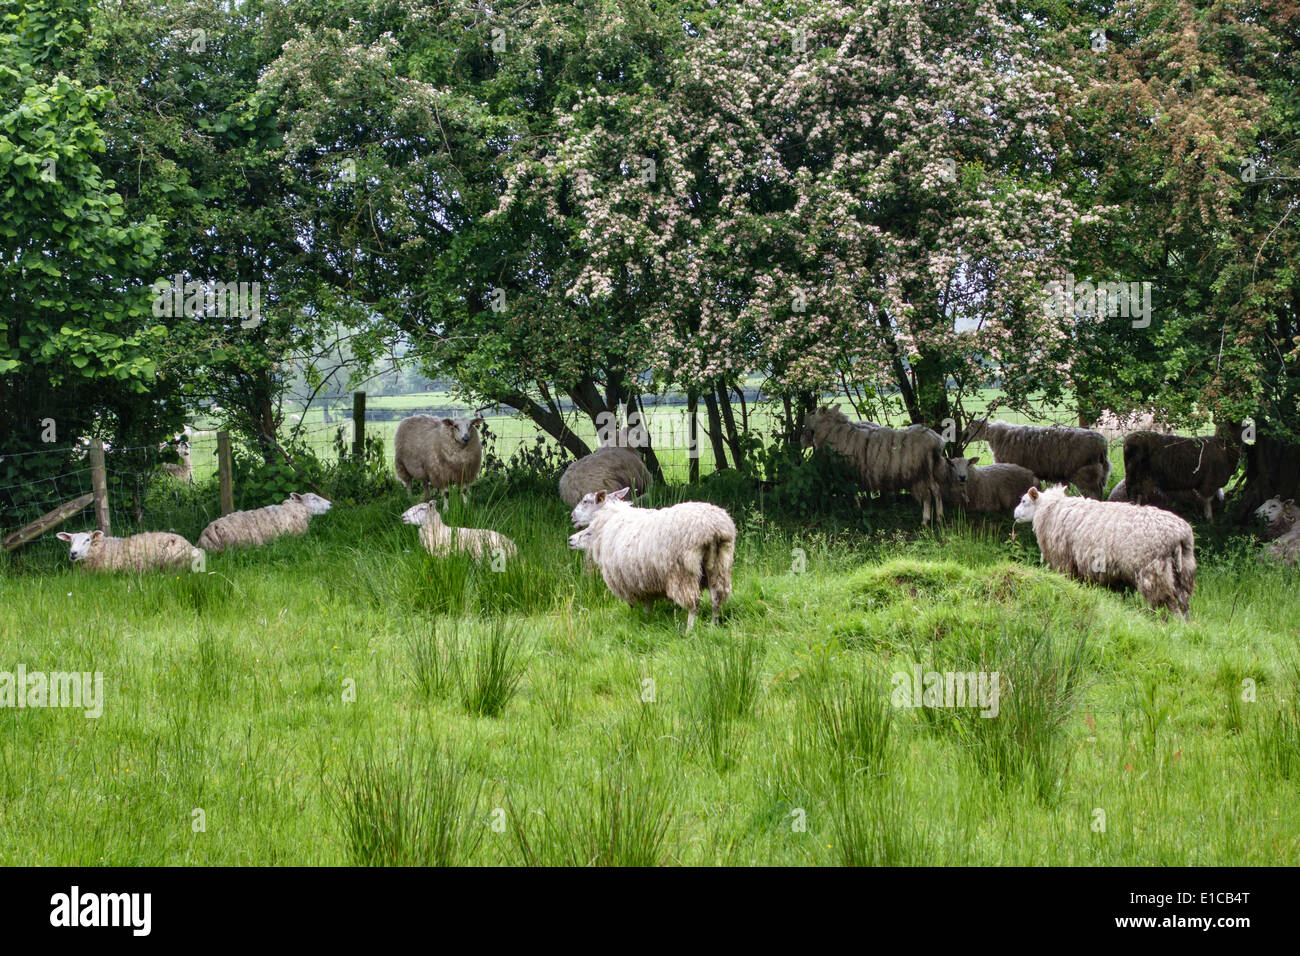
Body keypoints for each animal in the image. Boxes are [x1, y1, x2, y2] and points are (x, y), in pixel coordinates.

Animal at [568, 487, 735, 630]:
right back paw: (714, 626)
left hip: (682, 572)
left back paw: (689, 630)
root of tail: (713, 528)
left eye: (585, 501)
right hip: (720, 562)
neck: (610, 517)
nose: (572, 517)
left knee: (693, 603)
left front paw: (647, 621)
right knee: (716, 597)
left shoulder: (636, 581)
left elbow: (646, 606)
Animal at [801, 407, 945, 524]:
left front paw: (857, 510)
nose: (803, 422)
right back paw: (935, 518)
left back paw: (929, 519)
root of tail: (935, 440)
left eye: (813, 413)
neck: (834, 431)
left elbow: (853, 493)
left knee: (929, 493)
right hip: (926, 472)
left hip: (921, 472)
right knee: (934, 490)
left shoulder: (848, 471)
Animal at [964, 419, 1110, 498]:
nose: (963, 436)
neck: (998, 436)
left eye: (972, 426)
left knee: (1094, 494)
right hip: (1101, 474)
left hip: (1086, 474)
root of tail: (1103, 443)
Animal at [1013, 485, 1196, 617]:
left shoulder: (1063, 560)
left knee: (1169, 604)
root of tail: (1180, 534)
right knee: (1185, 603)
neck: (1050, 509)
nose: (1014, 514)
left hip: (1154, 572)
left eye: (1024, 501)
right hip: (1183, 570)